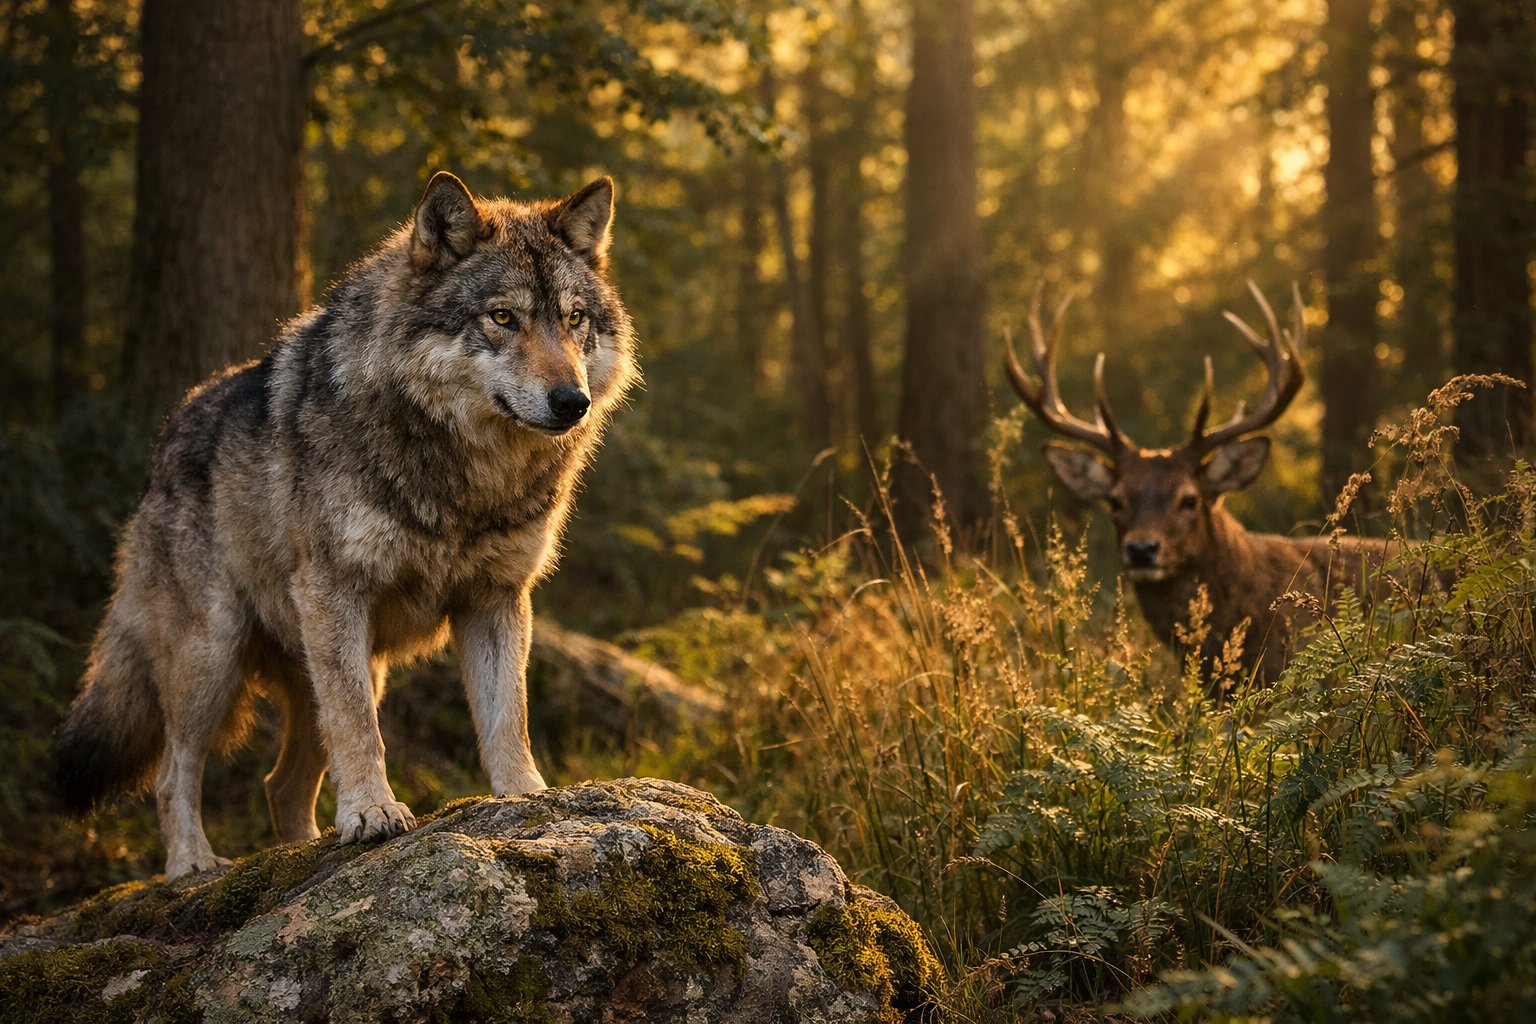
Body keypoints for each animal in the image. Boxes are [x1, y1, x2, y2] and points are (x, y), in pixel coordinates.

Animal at [53, 172, 638, 878]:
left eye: (574, 319)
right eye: (503, 317)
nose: (572, 401)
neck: (465, 477)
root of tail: (162, 444)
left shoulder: (495, 599)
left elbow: (507, 717)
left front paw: (525, 796)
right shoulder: (337, 594)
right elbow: (361, 728)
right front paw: (372, 813)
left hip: (329, 669)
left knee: (278, 784)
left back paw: (302, 850)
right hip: (213, 658)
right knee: (175, 773)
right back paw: (194, 864)